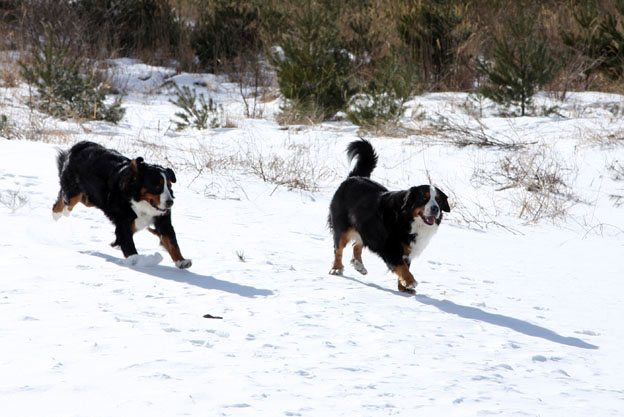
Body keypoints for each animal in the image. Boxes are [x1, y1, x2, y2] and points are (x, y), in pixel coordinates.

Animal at [52, 141, 191, 268]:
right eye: (157, 186)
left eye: (169, 186)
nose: (170, 202)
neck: (140, 201)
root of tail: (80, 145)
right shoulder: (124, 223)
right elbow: (129, 246)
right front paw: (137, 261)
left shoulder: (162, 219)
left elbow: (171, 241)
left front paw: (181, 261)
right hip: (74, 189)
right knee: (67, 200)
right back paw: (59, 213)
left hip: (92, 198)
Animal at [326, 140, 448, 292]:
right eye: (424, 198)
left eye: (439, 200)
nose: (435, 208)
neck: (408, 219)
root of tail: (354, 177)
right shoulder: (390, 246)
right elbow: (402, 266)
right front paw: (409, 281)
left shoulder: (406, 249)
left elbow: (405, 265)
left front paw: (404, 288)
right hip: (342, 227)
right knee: (338, 248)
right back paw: (336, 268)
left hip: (366, 228)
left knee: (356, 245)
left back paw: (359, 265)